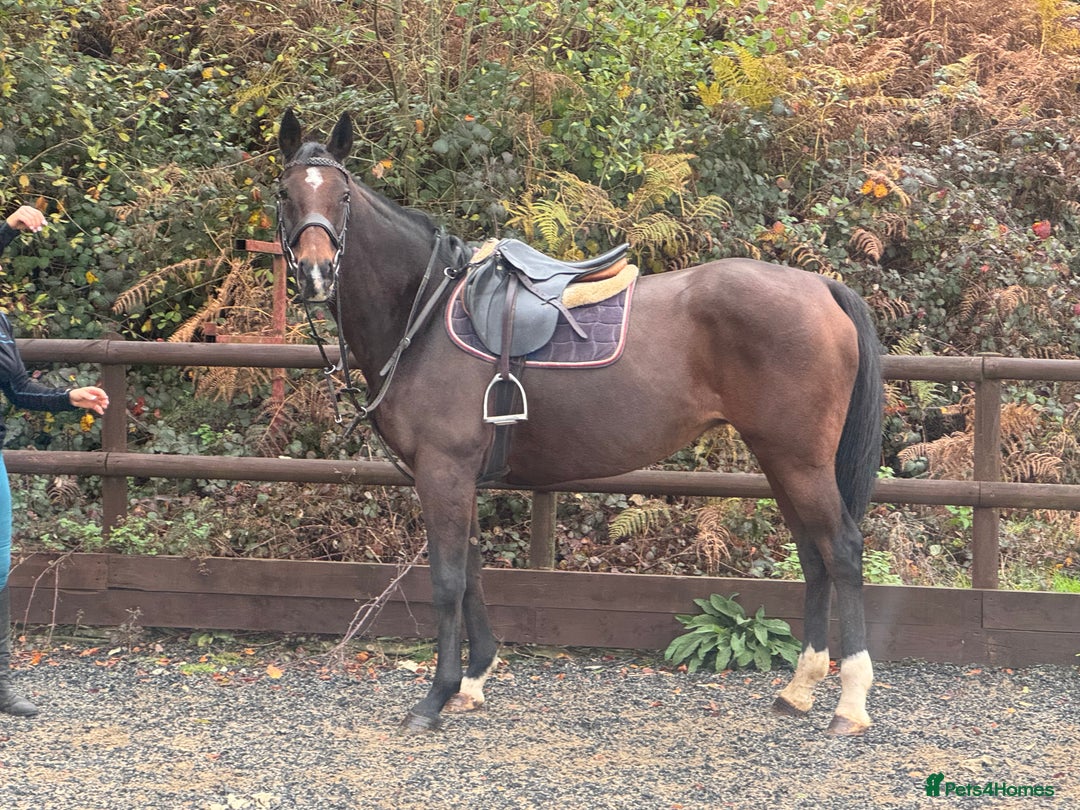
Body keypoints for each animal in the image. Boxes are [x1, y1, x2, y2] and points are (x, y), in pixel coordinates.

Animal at [275, 110, 884, 737]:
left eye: (343, 195)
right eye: (284, 193)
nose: (317, 273)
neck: (421, 313)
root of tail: (821, 287)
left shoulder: (443, 473)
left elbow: (447, 582)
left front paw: (434, 697)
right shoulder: (458, 477)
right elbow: (472, 573)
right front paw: (473, 680)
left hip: (800, 460)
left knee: (841, 550)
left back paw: (850, 702)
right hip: (780, 460)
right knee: (813, 555)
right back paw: (798, 690)